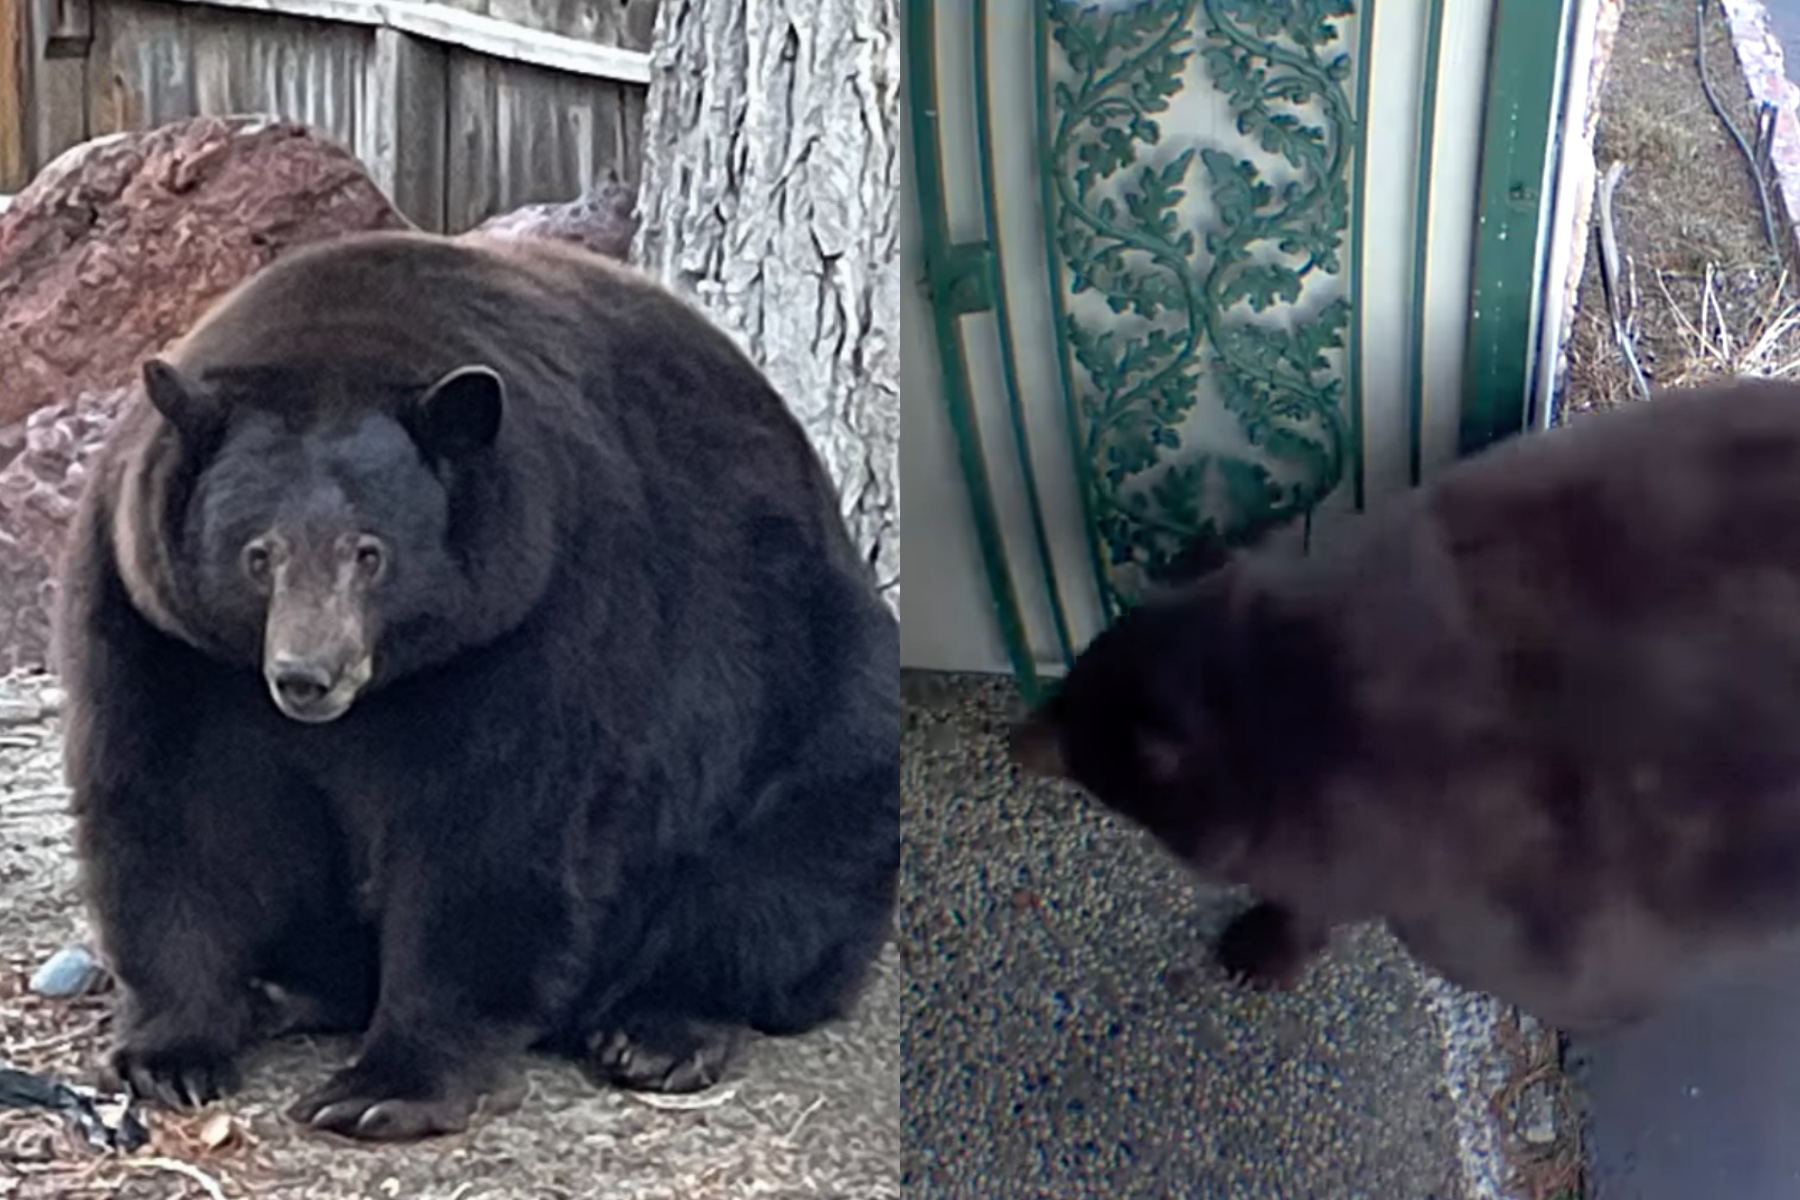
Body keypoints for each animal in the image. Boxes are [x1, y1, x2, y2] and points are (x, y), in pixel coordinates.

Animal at [54, 229, 899, 1141]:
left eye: (370, 551)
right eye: (258, 553)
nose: (307, 676)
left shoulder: (540, 609)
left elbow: (490, 831)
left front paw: (382, 1086)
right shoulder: (158, 625)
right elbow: (175, 806)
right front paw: (171, 1053)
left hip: (812, 699)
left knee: (784, 872)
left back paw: (659, 1029)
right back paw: (284, 990)